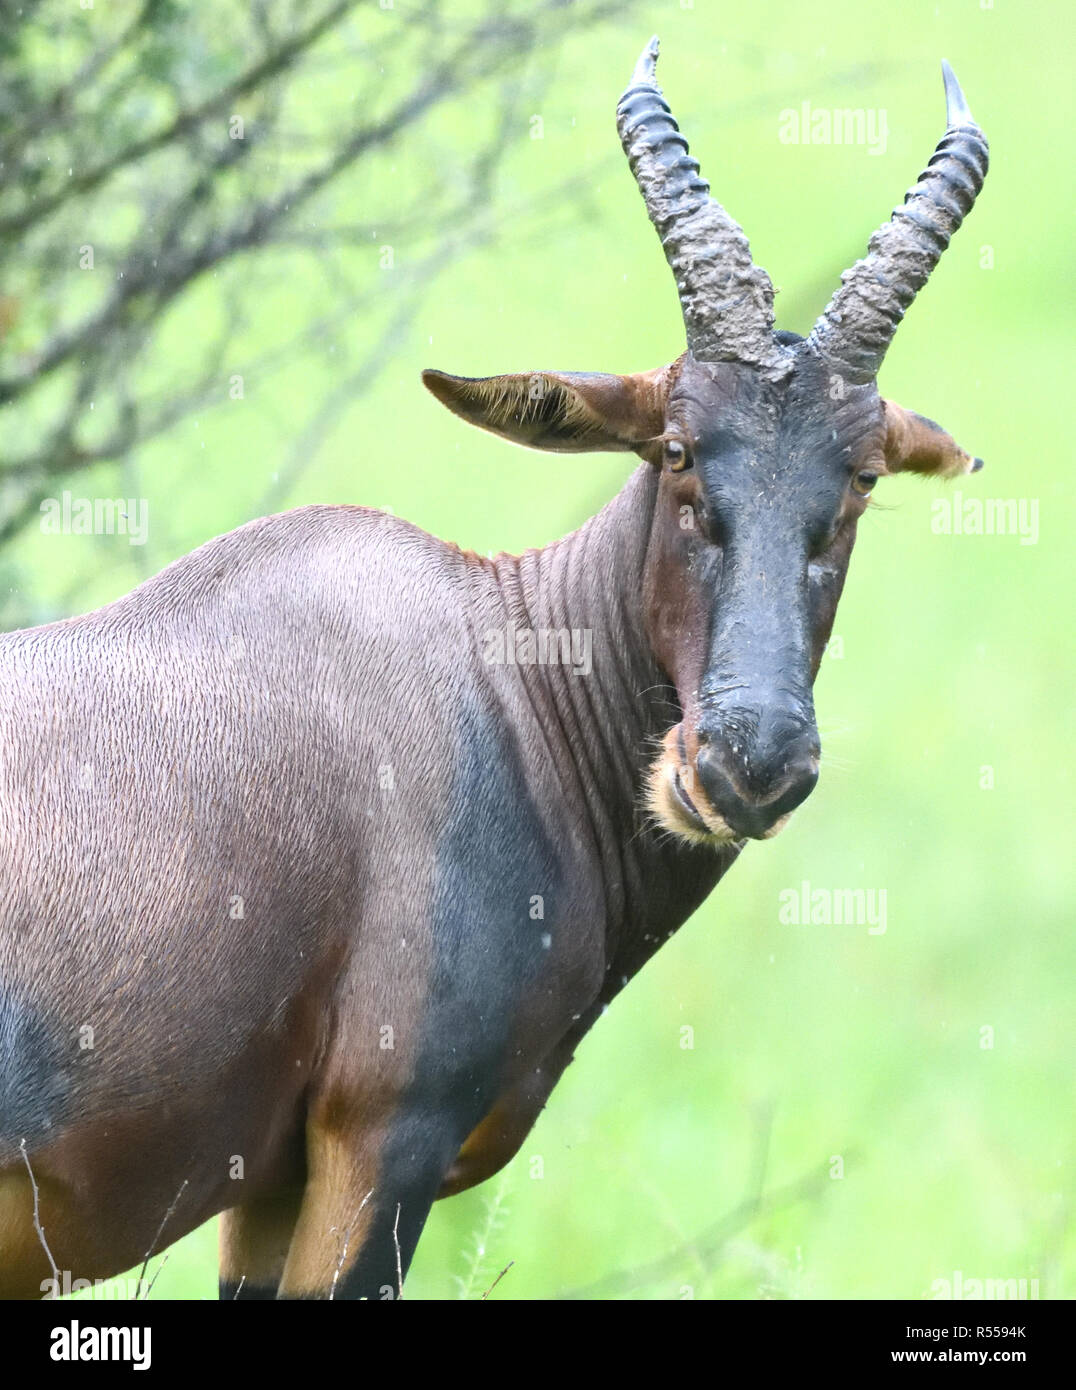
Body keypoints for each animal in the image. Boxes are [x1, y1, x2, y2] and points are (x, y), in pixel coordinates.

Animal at [0, 43, 989, 1301]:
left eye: (860, 475)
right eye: (676, 449)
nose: (746, 763)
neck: (496, 675)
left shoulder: (269, 1182)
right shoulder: (382, 1138)